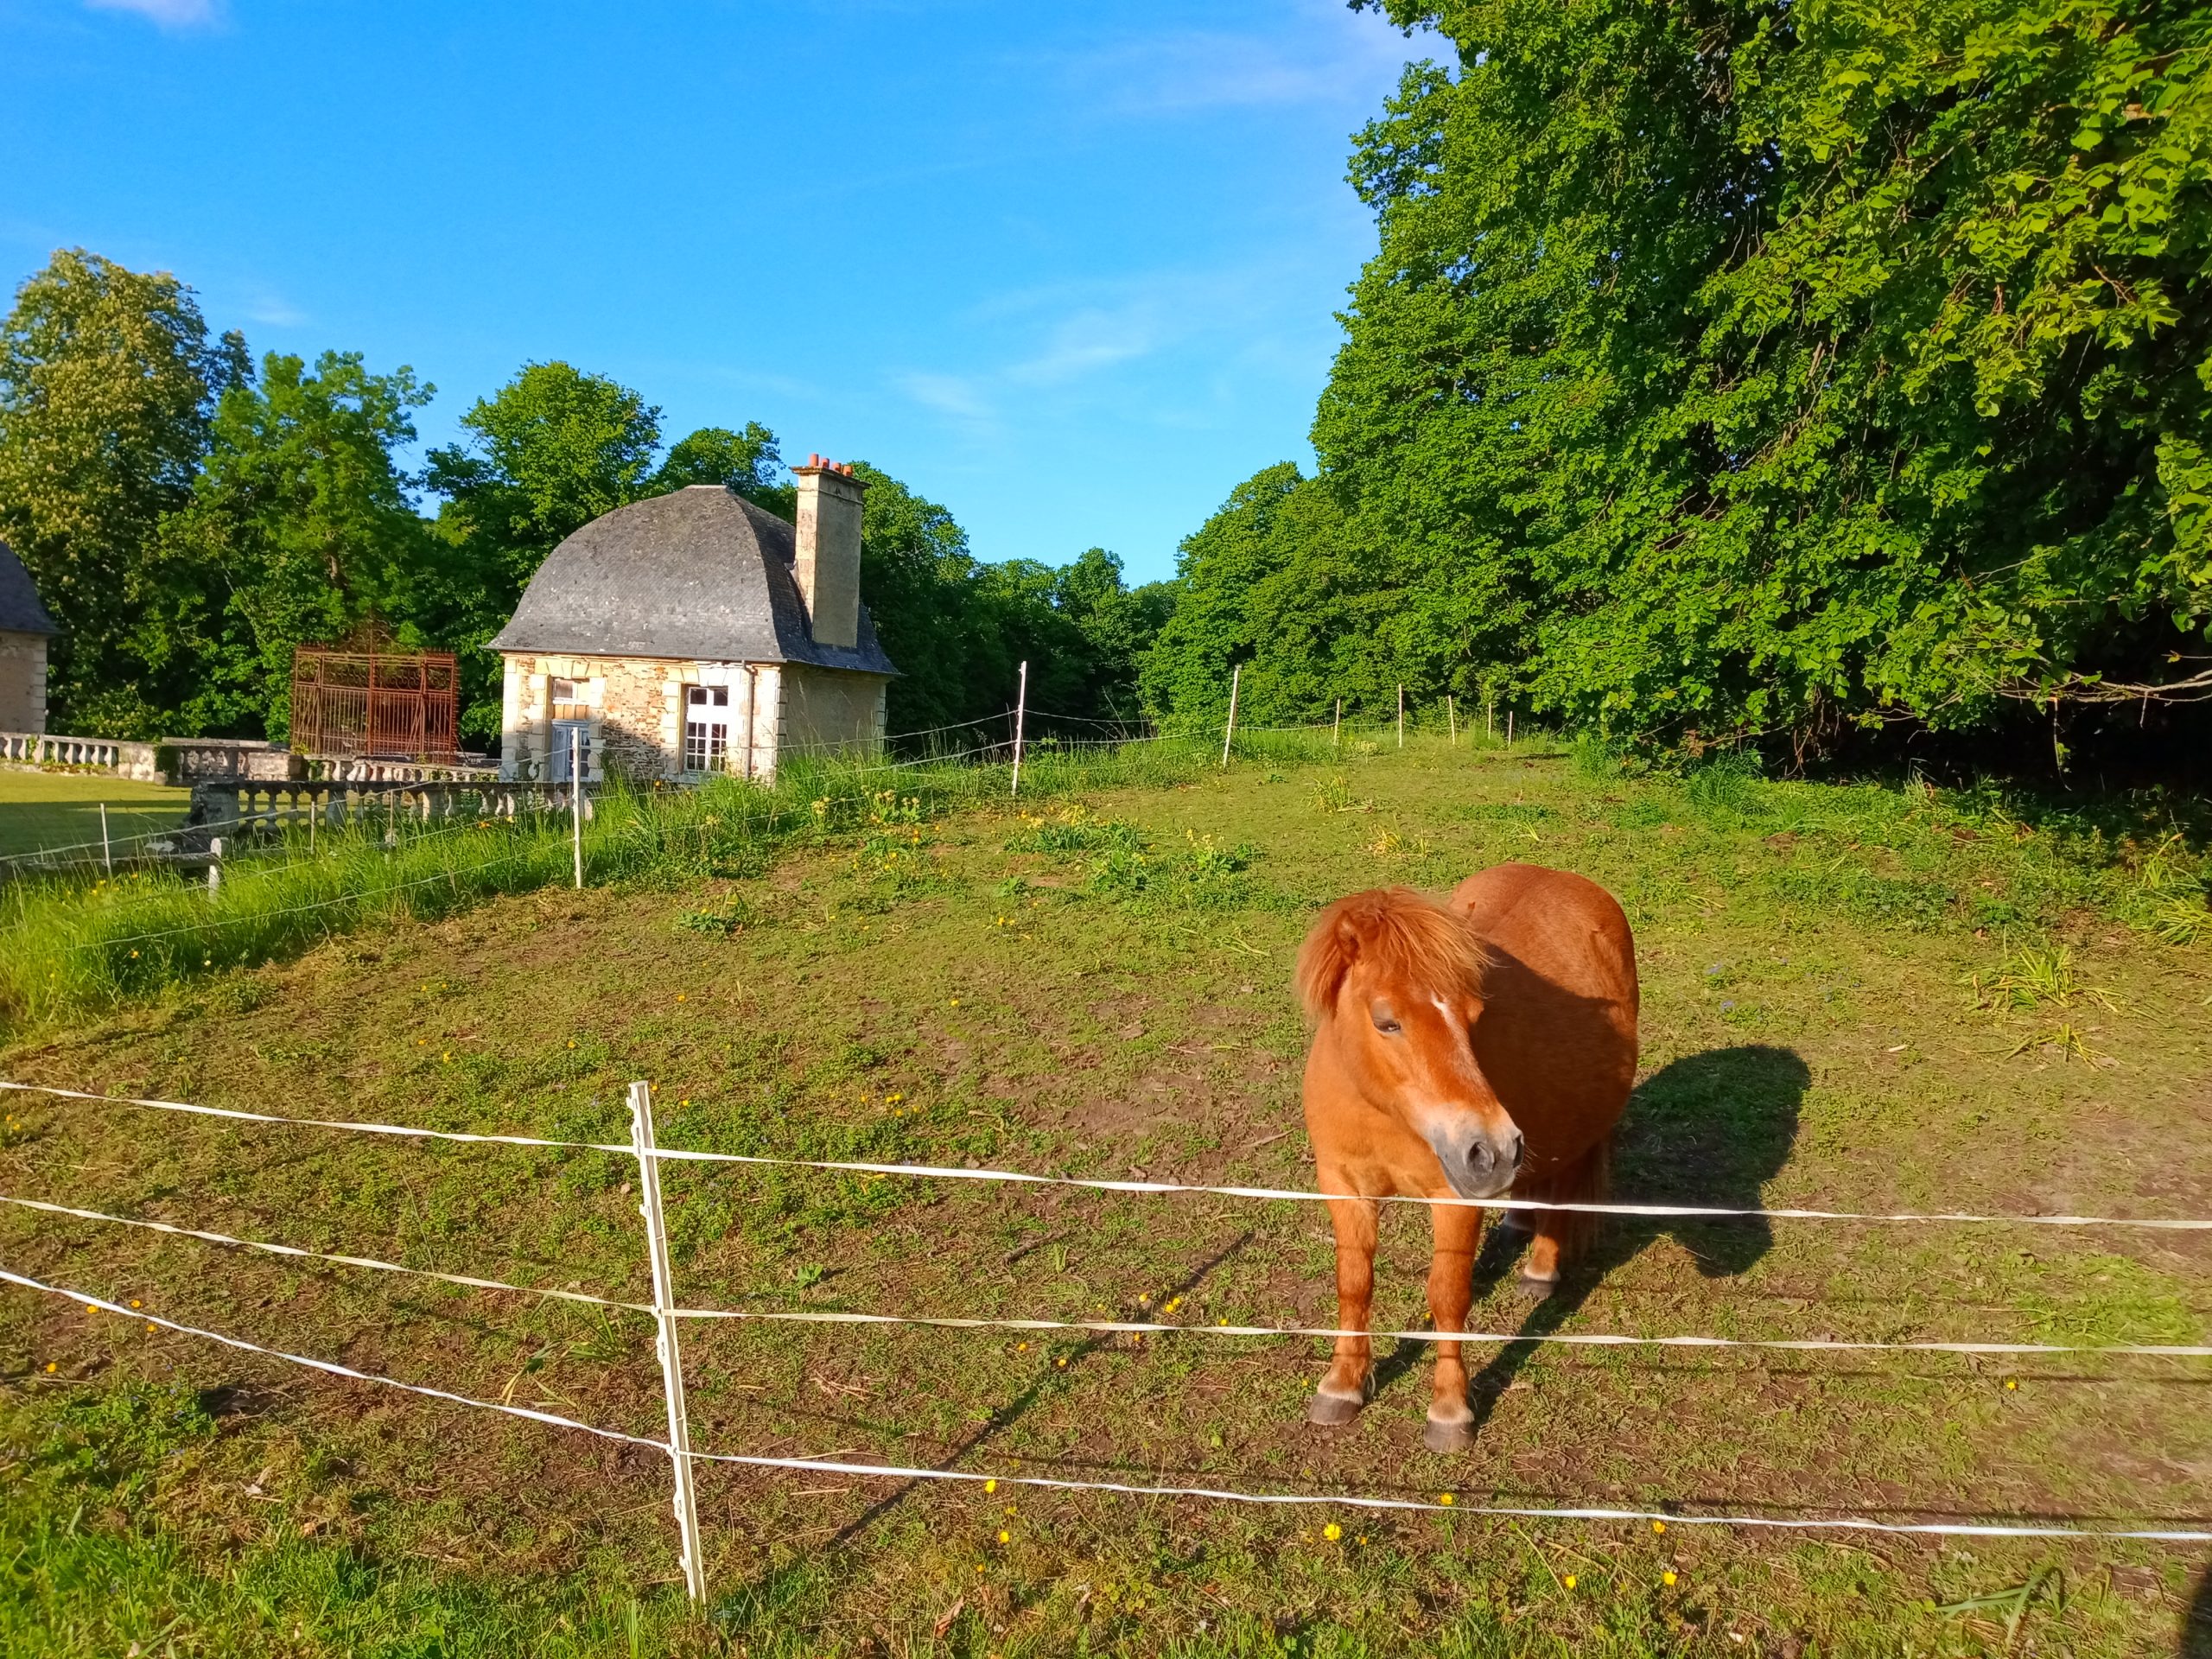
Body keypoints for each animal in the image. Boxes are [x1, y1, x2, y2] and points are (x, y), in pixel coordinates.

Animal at [1294, 863, 1639, 1451]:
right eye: (1387, 1022)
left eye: (1473, 1015)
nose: (1493, 1149)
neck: (1382, 1111)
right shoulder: (1344, 1186)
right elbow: (1354, 1284)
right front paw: (1341, 1386)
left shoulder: (1454, 1199)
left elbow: (1448, 1297)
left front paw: (1450, 1413)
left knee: (1563, 1189)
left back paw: (1540, 1270)